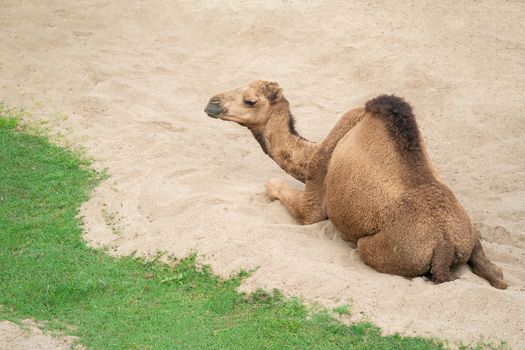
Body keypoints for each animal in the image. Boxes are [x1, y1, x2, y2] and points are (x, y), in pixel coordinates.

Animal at [203, 80, 506, 290]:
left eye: (250, 100)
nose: (212, 103)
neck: (310, 154)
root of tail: (446, 243)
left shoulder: (314, 193)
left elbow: (276, 187)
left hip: (383, 249)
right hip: (471, 235)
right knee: (493, 270)